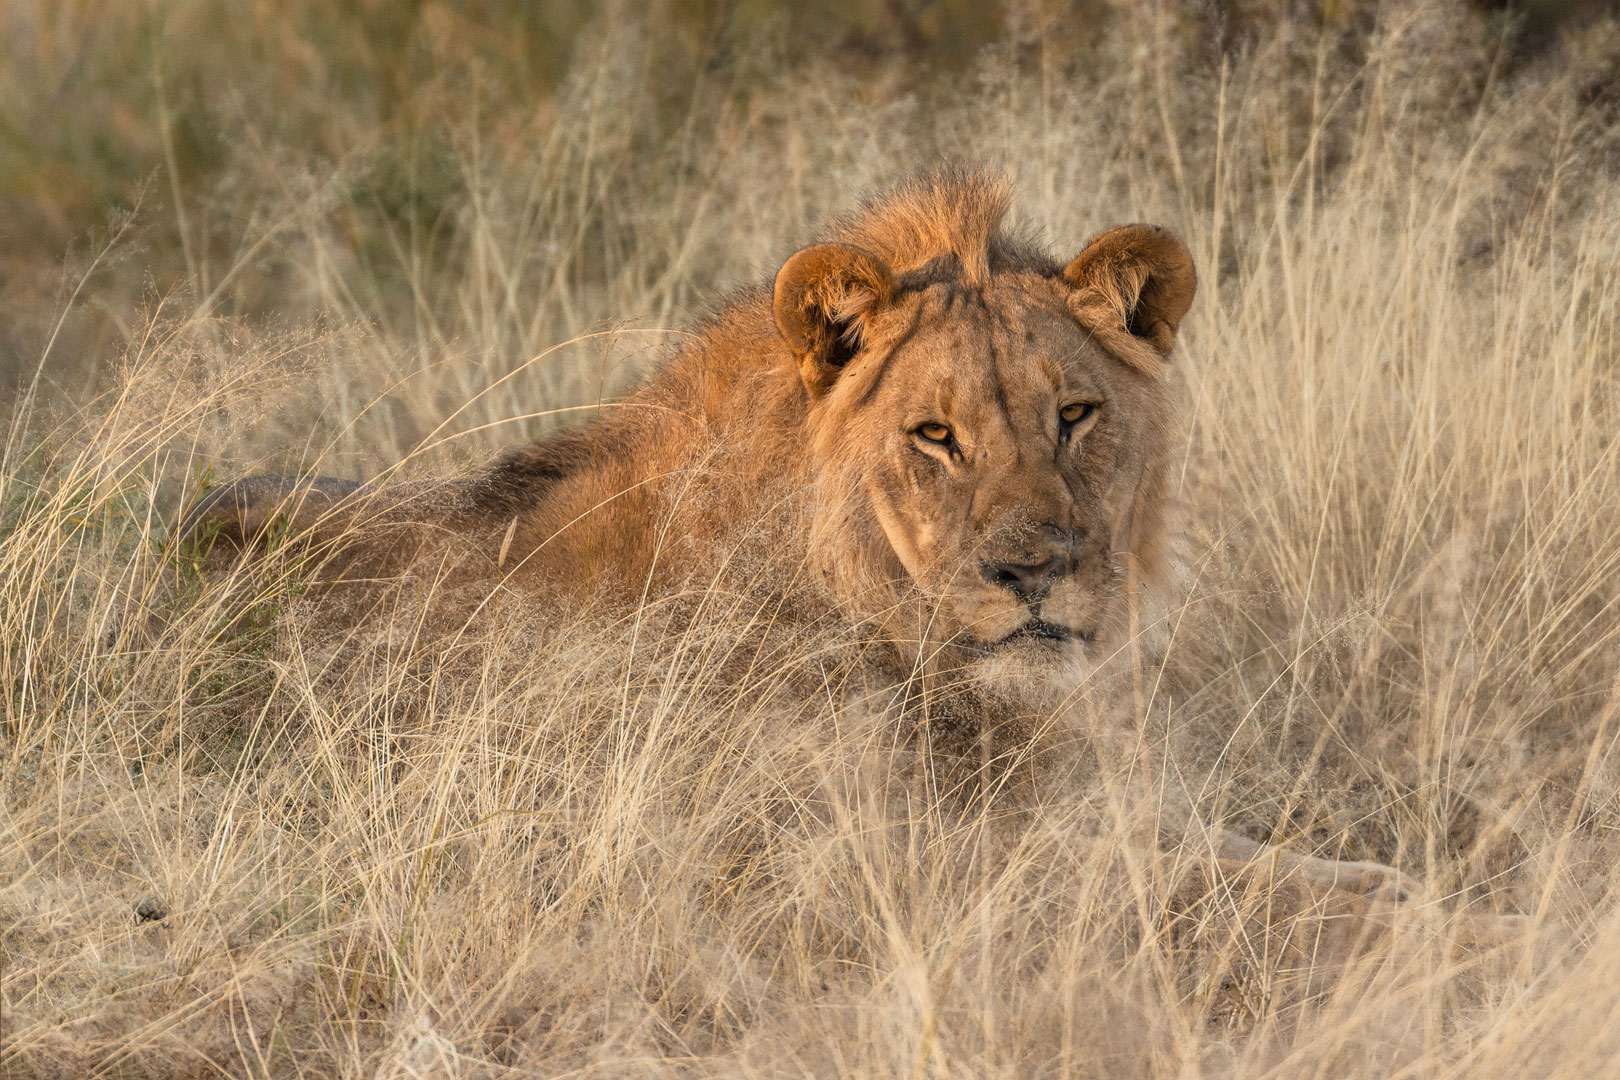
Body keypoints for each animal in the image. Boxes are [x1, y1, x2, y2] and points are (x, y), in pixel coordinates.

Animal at [189, 169, 1516, 939]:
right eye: (935, 436)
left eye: (1076, 415)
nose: (1032, 571)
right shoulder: (891, 869)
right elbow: (1234, 889)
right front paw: (1485, 938)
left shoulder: (1082, 803)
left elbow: (1292, 864)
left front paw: (1424, 892)